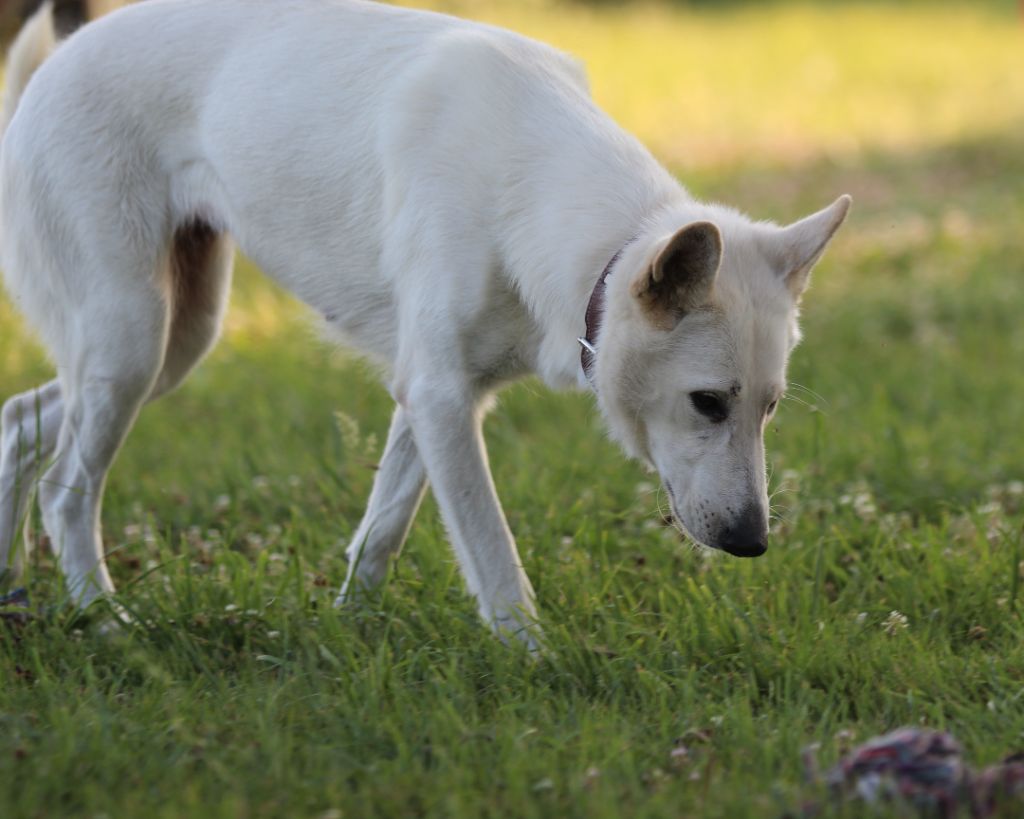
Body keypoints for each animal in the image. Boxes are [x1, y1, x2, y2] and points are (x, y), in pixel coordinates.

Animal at [0, 0, 847, 638]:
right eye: (707, 403)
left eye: (769, 408)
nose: (753, 542)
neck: (528, 185)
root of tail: (53, 66)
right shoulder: (442, 398)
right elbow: (493, 556)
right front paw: (534, 661)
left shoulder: (431, 398)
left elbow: (380, 532)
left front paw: (349, 631)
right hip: (132, 339)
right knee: (66, 490)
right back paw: (105, 621)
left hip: (173, 341)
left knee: (20, 421)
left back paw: (14, 592)